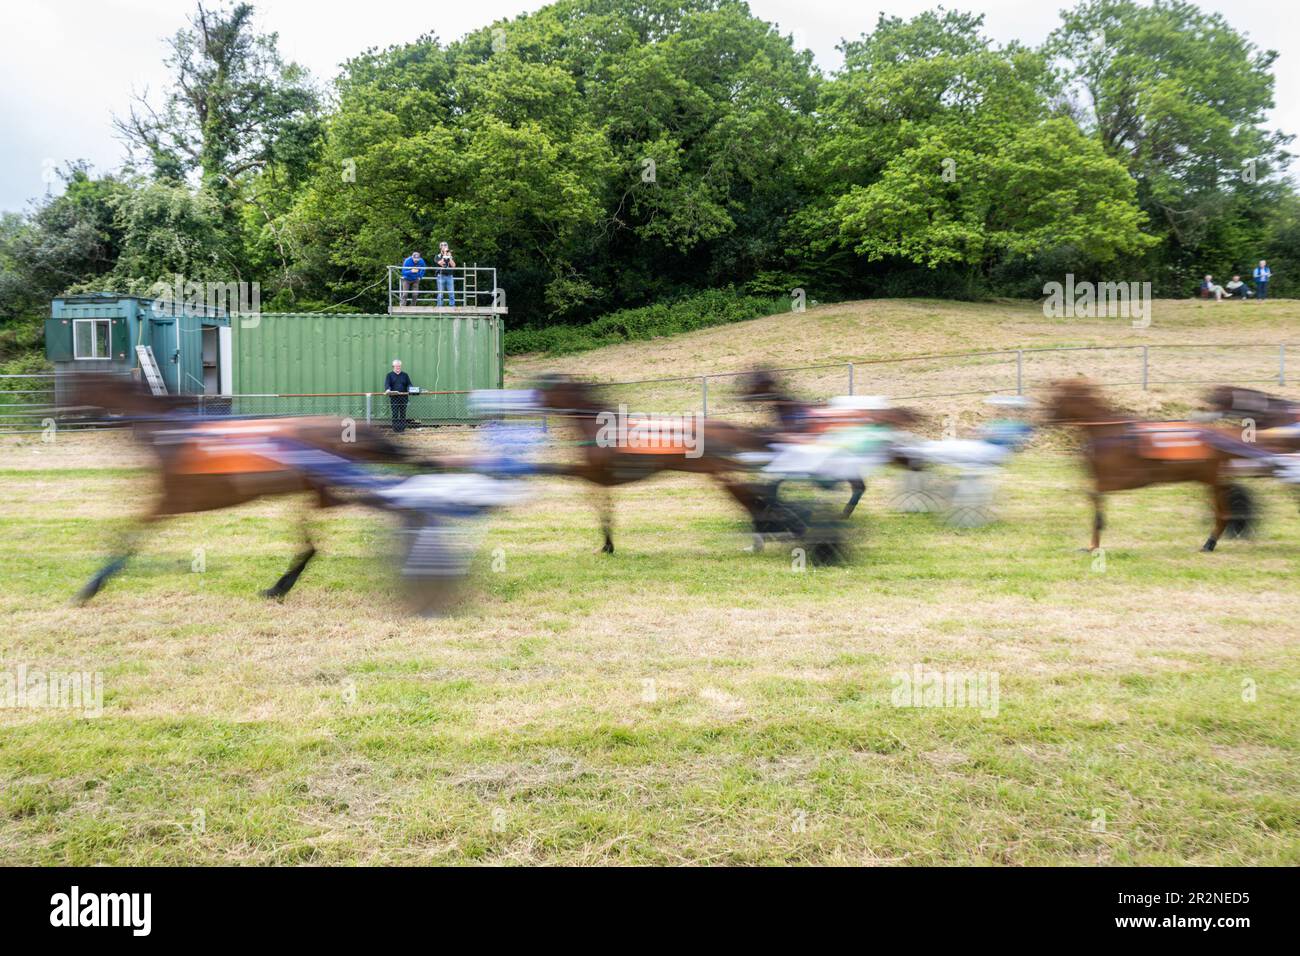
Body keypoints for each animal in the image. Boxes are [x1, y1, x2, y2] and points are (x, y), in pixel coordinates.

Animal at [1040, 374, 1263, 554]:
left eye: (1057, 398)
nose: (1045, 420)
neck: (1108, 433)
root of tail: (1219, 436)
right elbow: (1093, 496)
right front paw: (1091, 544)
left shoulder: (1126, 479)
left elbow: (1095, 495)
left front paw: (1095, 541)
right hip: (1206, 479)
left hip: (1211, 479)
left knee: (1222, 512)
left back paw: (1209, 543)